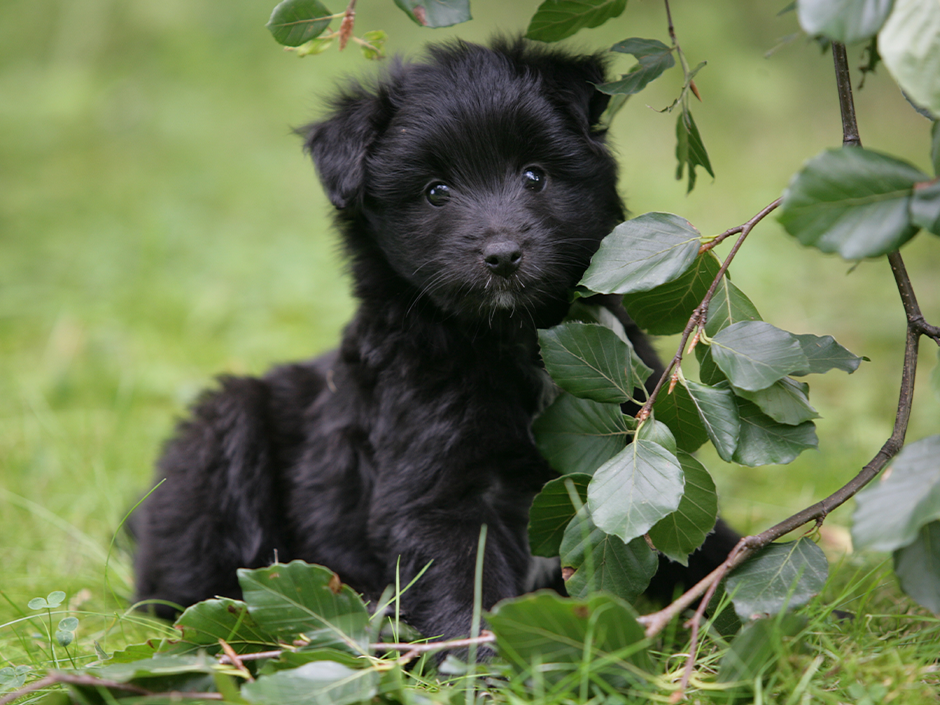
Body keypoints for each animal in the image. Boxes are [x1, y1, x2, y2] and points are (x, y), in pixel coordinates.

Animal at [132, 37, 736, 644]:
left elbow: (707, 546)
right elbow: (462, 588)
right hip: (222, 433)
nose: (503, 255)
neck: (517, 340)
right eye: (435, 191)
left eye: (534, 175)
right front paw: (481, 662)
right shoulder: (438, 493)